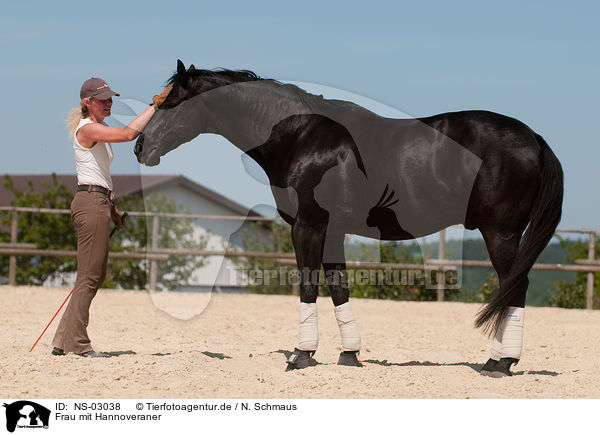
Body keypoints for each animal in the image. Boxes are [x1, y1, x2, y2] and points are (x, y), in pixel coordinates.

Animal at [135, 61, 564, 378]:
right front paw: (349, 355)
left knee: (516, 287)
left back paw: (500, 362)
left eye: (169, 103)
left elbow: (309, 284)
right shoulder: (333, 231)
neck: (300, 136)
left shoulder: (308, 226)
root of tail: (534, 138)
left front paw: (300, 355)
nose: (140, 146)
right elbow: (339, 287)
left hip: (500, 233)